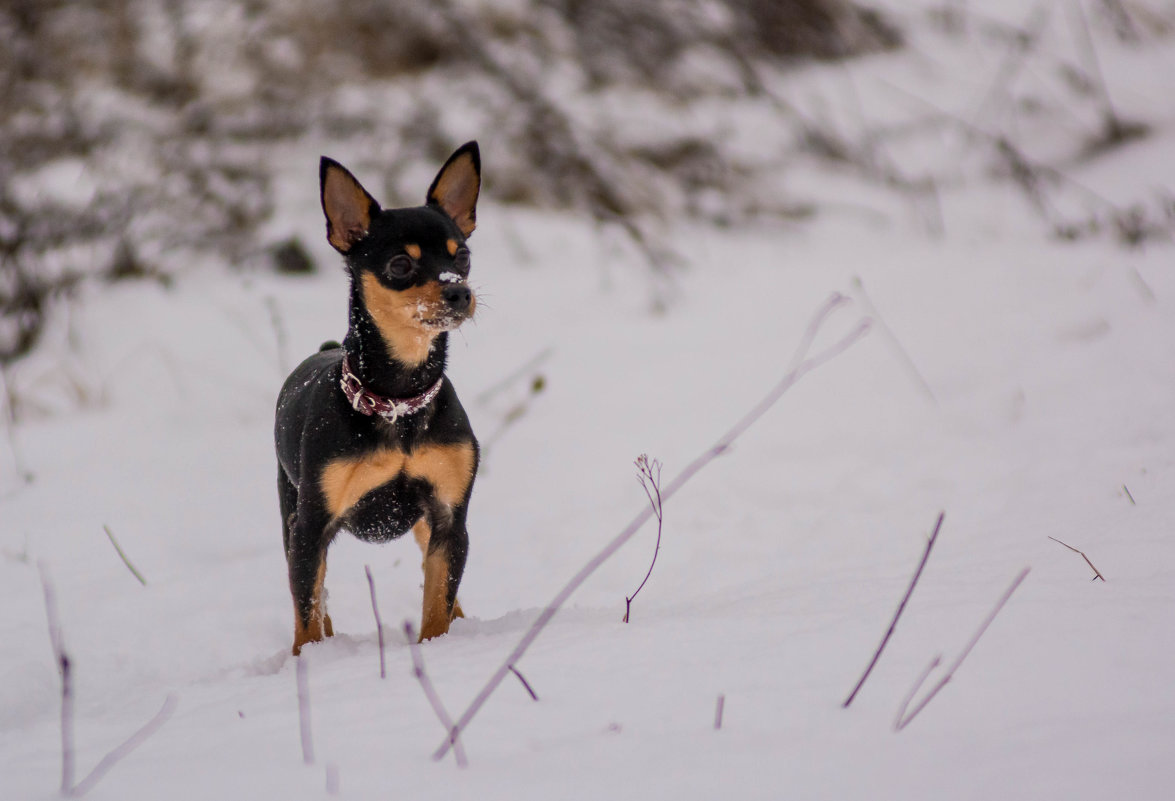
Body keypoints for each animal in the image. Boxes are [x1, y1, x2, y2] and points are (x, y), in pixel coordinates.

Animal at [274, 142, 481, 653]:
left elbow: (438, 601)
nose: (460, 291)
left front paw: (437, 647)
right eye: (400, 265)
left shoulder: (450, 519)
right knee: (312, 594)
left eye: (464, 256)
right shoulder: (310, 528)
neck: (399, 402)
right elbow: (307, 611)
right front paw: (309, 660)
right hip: (290, 513)